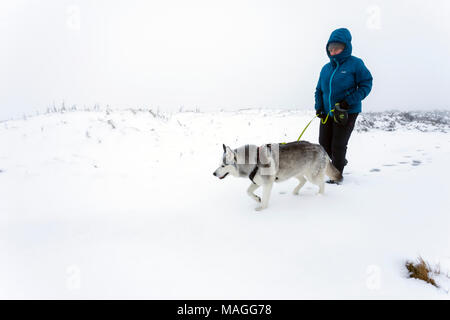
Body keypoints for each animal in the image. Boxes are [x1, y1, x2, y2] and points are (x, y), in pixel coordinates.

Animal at [214, 140, 342, 210]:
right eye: (219, 164)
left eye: (223, 166)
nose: (213, 173)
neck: (253, 161)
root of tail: (321, 147)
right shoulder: (257, 181)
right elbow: (248, 192)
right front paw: (257, 199)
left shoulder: (267, 183)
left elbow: (265, 198)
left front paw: (262, 208)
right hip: (295, 172)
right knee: (303, 181)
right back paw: (295, 192)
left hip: (312, 176)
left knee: (321, 184)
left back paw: (320, 196)